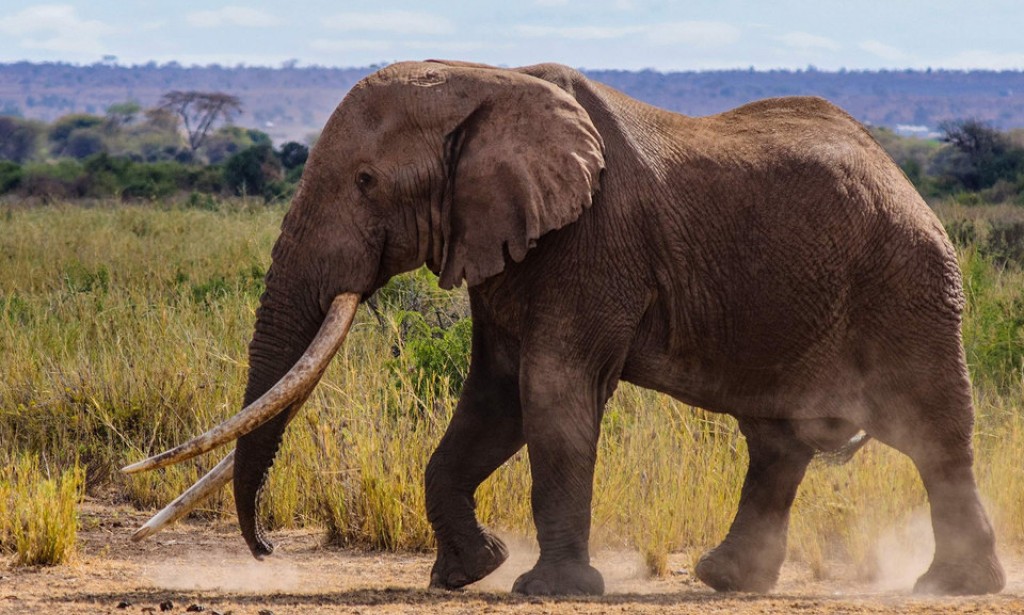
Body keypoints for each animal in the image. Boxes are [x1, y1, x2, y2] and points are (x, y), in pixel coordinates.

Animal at [124, 60, 1005, 597]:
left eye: (368, 181)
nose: (268, 550)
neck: (483, 81)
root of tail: (906, 179)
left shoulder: (591, 242)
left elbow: (551, 395)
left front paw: (544, 589)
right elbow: (494, 401)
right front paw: (468, 572)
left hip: (910, 286)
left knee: (933, 432)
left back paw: (953, 587)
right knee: (778, 440)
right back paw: (727, 581)